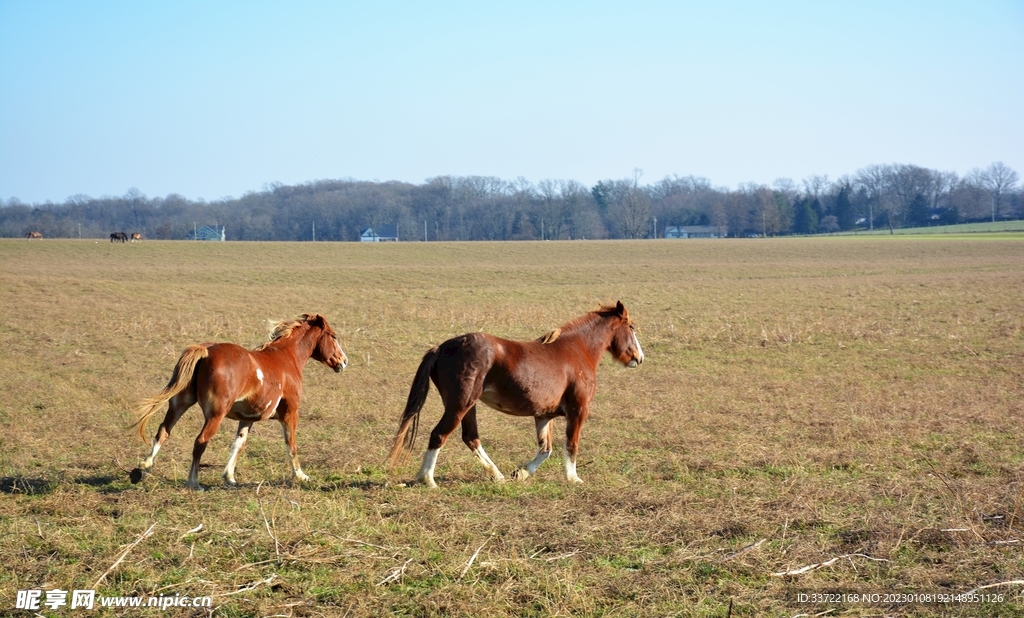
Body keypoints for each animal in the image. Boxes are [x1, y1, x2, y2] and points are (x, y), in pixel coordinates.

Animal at [130, 313, 348, 489]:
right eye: (333, 336)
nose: (344, 361)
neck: (286, 358)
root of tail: (205, 350)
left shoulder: (247, 418)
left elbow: (238, 444)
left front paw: (229, 478)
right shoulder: (290, 414)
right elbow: (291, 444)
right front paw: (301, 476)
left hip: (179, 404)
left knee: (163, 432)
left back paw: (143, 469)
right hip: (215, 415)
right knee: (200, 441)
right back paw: (193, 482)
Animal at [387, 301, 644, 488]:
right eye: (631, 327)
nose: (639, 358)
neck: (577, 351)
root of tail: (440, 348)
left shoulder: (544, 416)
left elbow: (545, 450)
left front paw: (520, 473)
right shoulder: (578, 410)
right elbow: (571, 445)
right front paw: (574, 479)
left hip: (468, 406)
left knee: (470, 437)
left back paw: (497, 475)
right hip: (460, 404)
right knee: (439, 435)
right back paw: (427, 480)